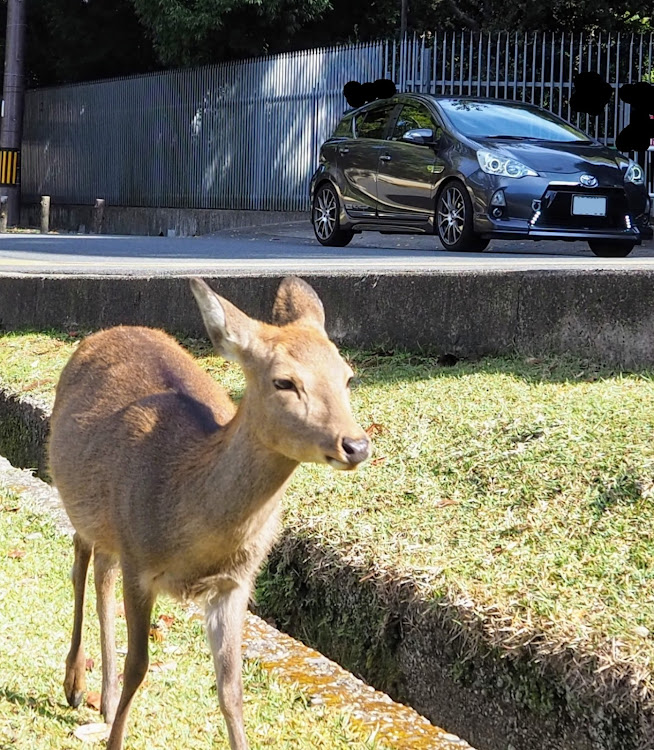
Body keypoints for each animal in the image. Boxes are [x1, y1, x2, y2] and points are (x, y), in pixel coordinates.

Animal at [48, 278, 372, 750]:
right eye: (284, 381)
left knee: (102, 573)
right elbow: (138, 666)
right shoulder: (140, 563)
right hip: (75, 494)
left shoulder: (235, 583)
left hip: (111, 524)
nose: (356, 445)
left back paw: (103, 700)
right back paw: (75, 684)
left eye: (347, 375)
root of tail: (102, 333)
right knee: (79, 562)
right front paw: (115, 737)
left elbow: (232, 688)